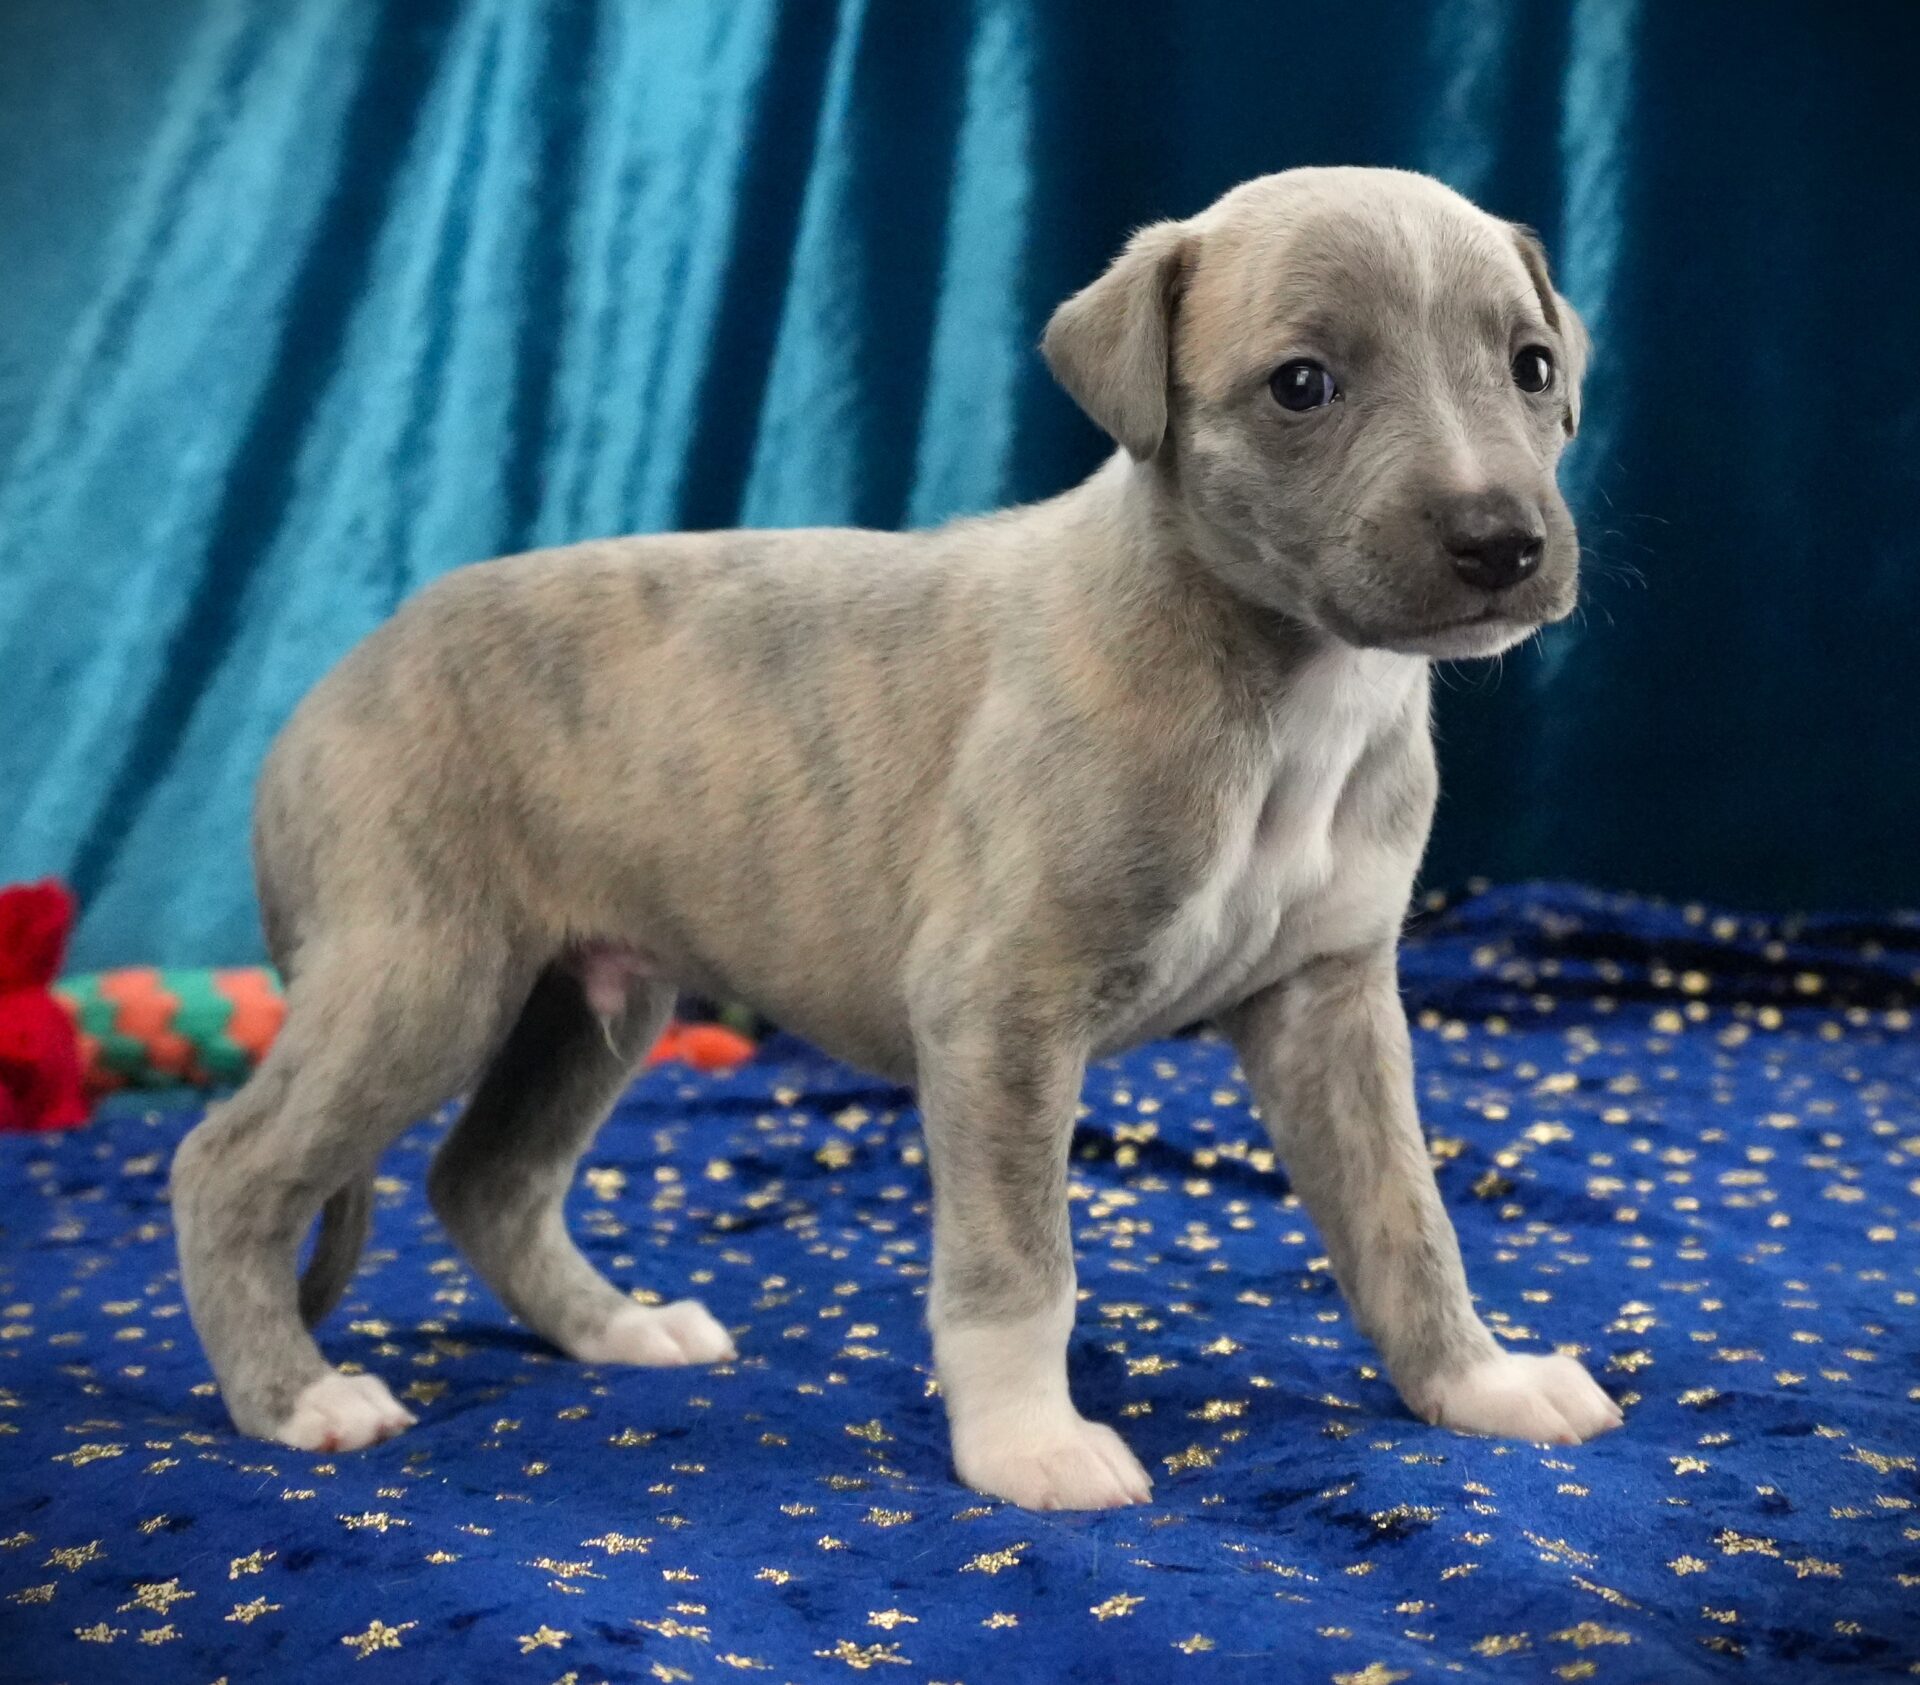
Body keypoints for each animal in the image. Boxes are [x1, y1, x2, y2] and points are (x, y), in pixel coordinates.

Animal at [171, 166, 1621, 1510]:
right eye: (1303, 385)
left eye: (1532, 367)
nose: (1500, 540)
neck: (1286, 688)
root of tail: (328, 689)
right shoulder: (999, 1010)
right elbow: (1020, 1260)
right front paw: (1031, 1444)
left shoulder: (1331, 999)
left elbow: (1403, 1217)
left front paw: (1476, 1381)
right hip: (422, 974)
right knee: (225, 1165)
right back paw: (299, 1398)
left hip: (586, 1001)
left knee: (488, 1178)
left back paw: (619, 1329)